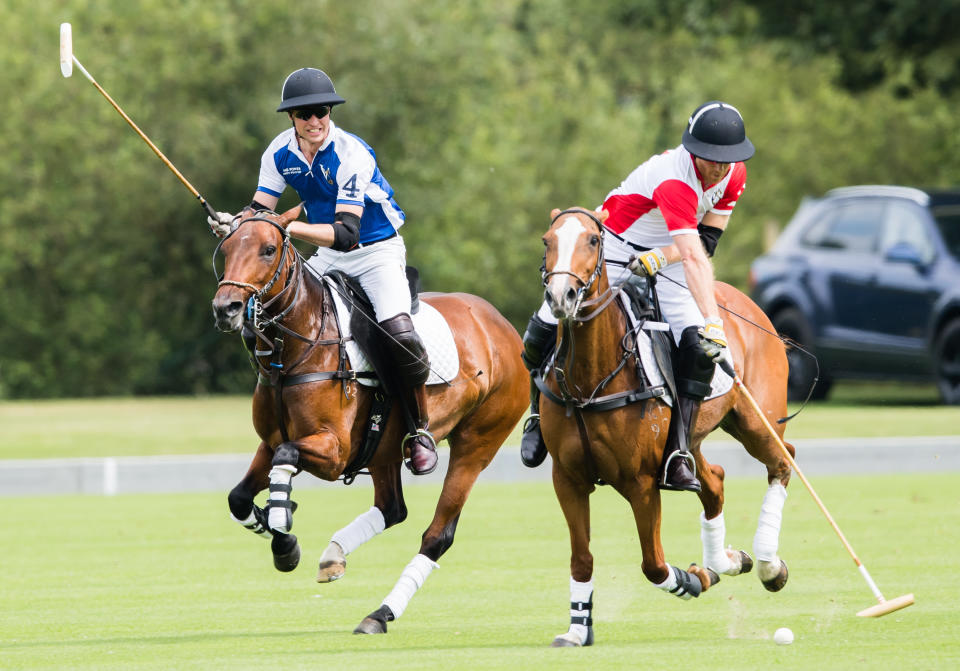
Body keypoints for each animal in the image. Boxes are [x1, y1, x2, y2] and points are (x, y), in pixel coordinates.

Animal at [211, 207, 528, 636]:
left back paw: (380, 613)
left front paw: (281, 528)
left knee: (437, 534)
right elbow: (240, 495)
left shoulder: (334, 451)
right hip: (384, 448)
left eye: (269, 249)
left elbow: (286, 456)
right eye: (227, 247)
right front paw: (281, 536)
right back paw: (335, 556)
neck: (297, 348)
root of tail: (504, 325)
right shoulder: (271, 439)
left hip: (478, 442)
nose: (225, 308)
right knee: (393, 508)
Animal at [540, 207, 796, 648]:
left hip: (756, 419)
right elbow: (582, 557)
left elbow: (654, 565)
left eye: (593, 239)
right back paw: (730, 560)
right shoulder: (567, 478)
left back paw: (767, 564)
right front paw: (577, 629)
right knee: (715, 480)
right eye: (547, 240)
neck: (590, 381)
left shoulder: (641, 482)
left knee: (783, 461)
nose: (560, 297)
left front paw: (694, 580)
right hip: (691, 441)